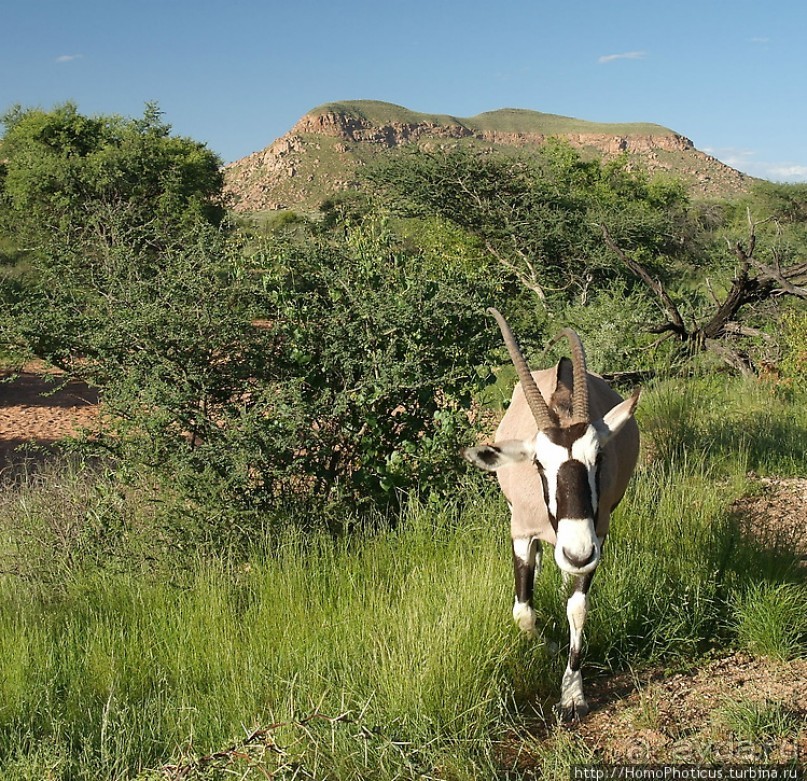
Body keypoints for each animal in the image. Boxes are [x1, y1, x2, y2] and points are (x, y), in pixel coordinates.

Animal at [464, 306, 640, 720]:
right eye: (539, 464)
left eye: (599, 458)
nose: (577, 553)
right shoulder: (521, 534)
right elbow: (523, 612)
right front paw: (550, 647)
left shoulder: (598, 535)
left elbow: (578, 608)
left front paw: (572, 694)